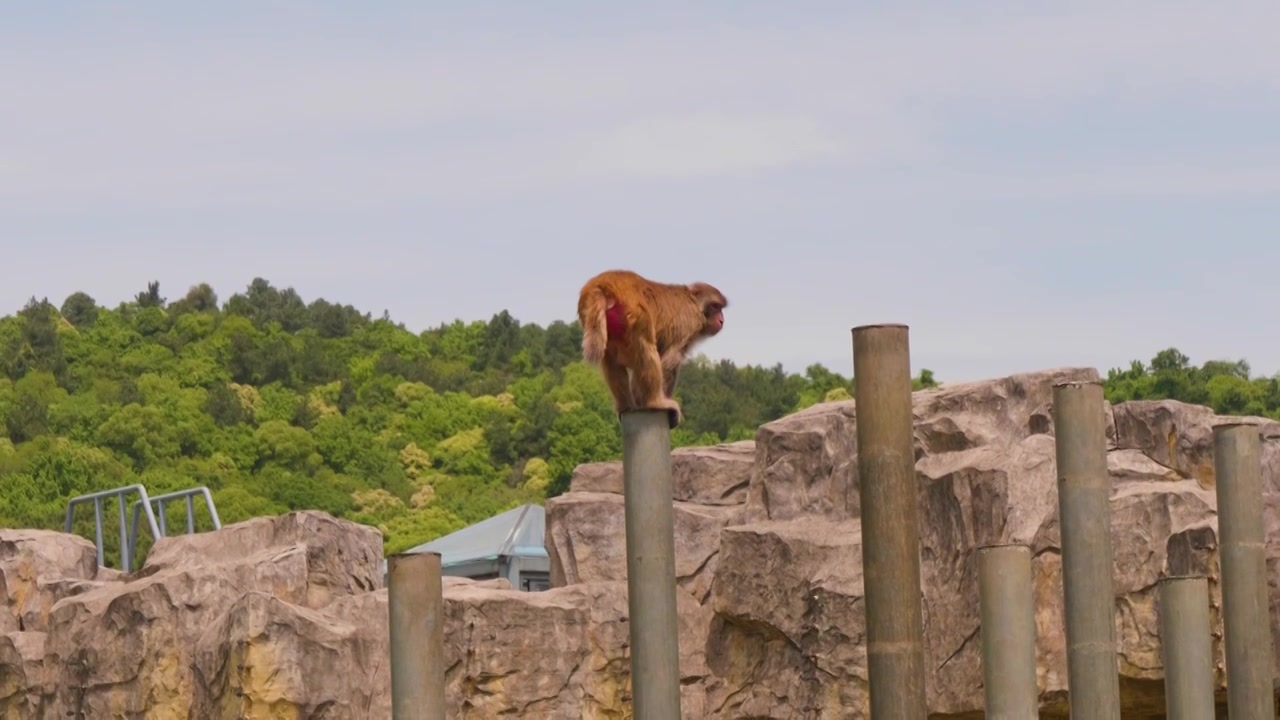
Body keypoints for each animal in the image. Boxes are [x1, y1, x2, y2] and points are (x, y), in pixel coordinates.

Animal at [581, 269, 732, 425]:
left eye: (720, 308)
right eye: (715, 307)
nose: (721, 320)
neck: (694, 304)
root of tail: (603, 284)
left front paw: (639, 400)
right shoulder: (688, 324)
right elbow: (671, 360)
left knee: (612, 362)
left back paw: (626, 405)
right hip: (636, 315)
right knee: (647, 349)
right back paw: (656, 402)